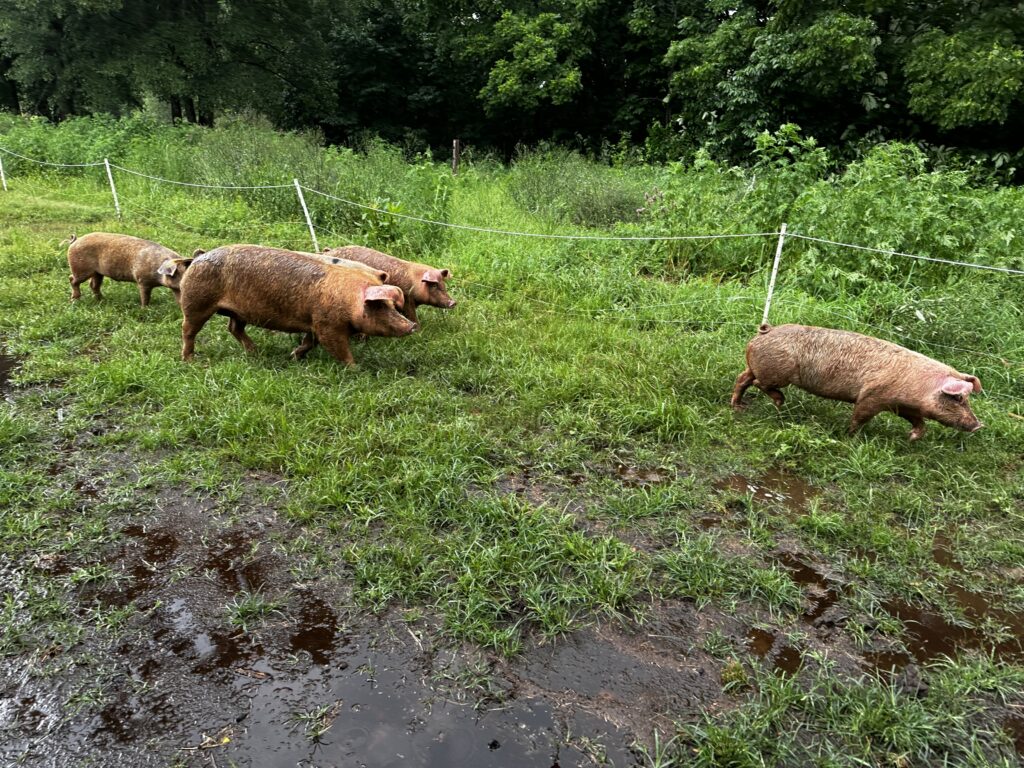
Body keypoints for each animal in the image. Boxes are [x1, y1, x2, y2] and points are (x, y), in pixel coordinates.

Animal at [66, 232, 195, 306]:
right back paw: (75, 300)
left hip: (97, 272)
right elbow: (145, 296)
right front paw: (144, 308)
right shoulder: (142, 280)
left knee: (93, 285)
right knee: (72, 279)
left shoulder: (175, 288)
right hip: (80, 269)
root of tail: (75, 240)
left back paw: (102, 300)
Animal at [177, 245, 417, 364]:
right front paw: (355, 368)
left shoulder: (313, 322)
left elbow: (309, 342)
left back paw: (255, 352)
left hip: (239, 312)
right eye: (379, 306)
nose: (412, 326)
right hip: (196, 302)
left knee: (233, 328)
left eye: (392, 305)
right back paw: (190, 360)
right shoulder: (327, 325)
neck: (347, 299)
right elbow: (337, 348)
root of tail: (197, 257)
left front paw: (293, 356)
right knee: (188, 329)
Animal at [325, 245, 455, 323]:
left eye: (443, 285)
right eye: (434, 285)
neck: (415, 282)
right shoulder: (407, 300)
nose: (453, 302)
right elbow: (412, 316)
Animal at [731, 324, 983, 441]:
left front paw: (911, 438)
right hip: (778, 372)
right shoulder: (873, 396)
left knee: (743, 378)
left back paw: (738, 406)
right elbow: (860, 416)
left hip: (757, 367)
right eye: (959, 399)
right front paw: (851, 436)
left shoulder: (901, 405)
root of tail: (766, 330)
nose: (979, 425)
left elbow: (919, 421)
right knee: (759, 384)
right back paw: (779, 401)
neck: (921, 387)